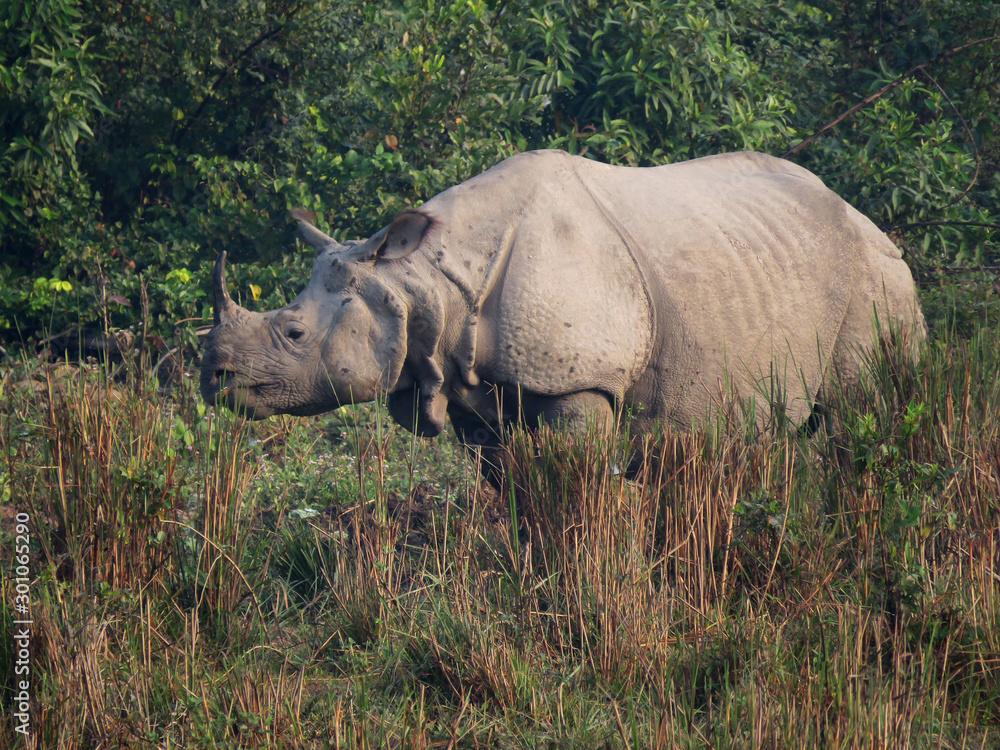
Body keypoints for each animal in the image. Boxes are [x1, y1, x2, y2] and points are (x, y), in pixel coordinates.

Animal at [201, 150, 925, 474]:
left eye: (294, 332)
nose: (213, 380)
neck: (421, 281)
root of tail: (872, 222)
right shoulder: (475, 393)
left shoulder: (580, 381)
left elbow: (574, 493)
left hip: (879, 279)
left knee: (861, 413)